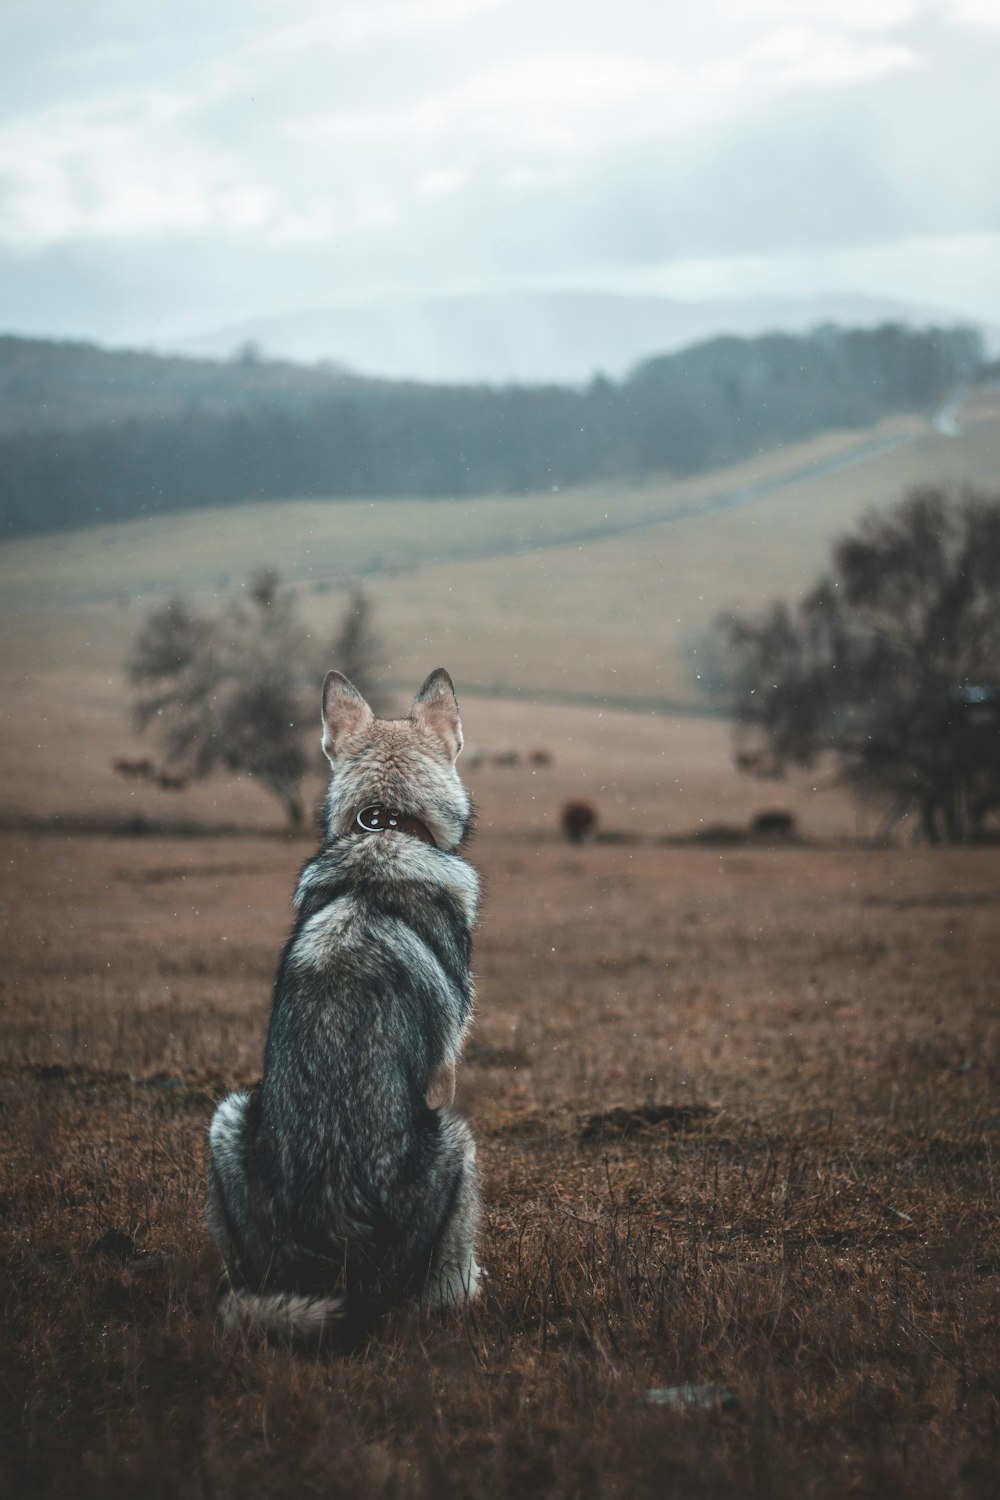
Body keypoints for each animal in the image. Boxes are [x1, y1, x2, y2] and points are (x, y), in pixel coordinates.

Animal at [206, 669, 479, 1350]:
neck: (387, 828)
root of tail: (335, 1261)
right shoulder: (444, 1073)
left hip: (224, 1119)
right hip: (461, 1142)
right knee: (437, 1294)